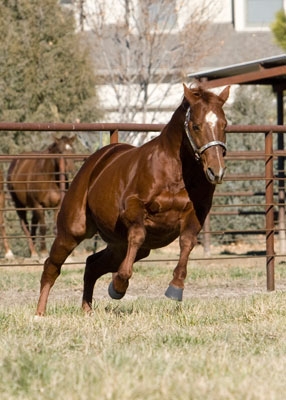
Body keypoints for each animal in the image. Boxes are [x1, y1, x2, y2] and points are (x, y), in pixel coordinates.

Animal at [35, 85, 229, 316]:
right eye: (196, 126)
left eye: (225, 125)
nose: (216, 171)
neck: (175, 171)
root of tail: (95, 161)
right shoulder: (133, 208)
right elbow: (137, 235)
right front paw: (118, 285)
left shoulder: (197, 212)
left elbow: (187, 242)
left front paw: (175, 287)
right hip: (72, 231)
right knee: (52, 266)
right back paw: (39, 313)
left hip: (119, 244)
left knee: (92, 264)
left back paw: (87, 310)